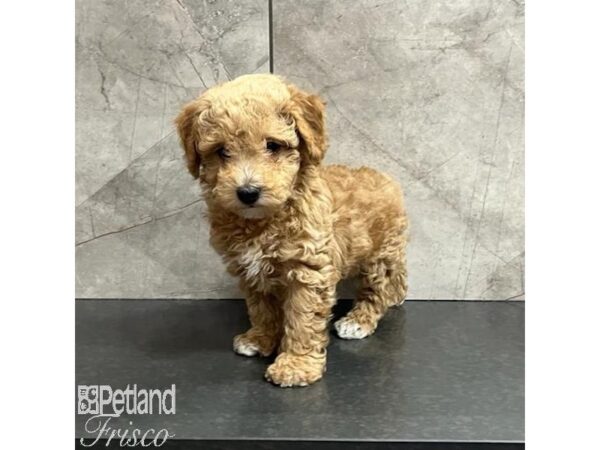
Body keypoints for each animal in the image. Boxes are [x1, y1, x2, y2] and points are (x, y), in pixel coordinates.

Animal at [173, 74, 408, 386]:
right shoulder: (250, 272)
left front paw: (296, 365)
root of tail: (384, 177)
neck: (263, 221)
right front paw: (260, 339)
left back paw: (358, 321)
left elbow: (302, 319)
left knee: (377, 291)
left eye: (272, 145)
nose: (247, 192)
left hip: (381, 254)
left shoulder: (308, 271)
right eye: (222, 151)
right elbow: (261, 309)